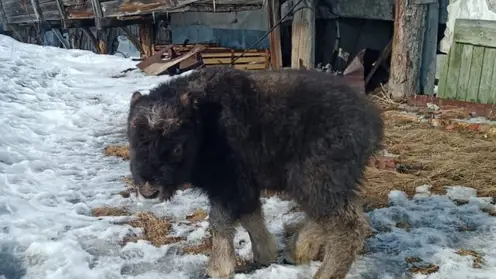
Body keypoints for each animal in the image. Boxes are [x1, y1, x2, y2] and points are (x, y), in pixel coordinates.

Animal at [127, 66, 384, 278]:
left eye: (176, 147)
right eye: (134, 142)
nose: (149, 190)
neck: (204, 121)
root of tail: (371, 121)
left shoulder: (227, 183)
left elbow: (220, 221)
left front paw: (218, 268)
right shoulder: (242, 185)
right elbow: (250, 214)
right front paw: (265, 254)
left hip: (315, 179)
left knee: (347, 225)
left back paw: (323, 272)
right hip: (328, 183)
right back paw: (297, 250)